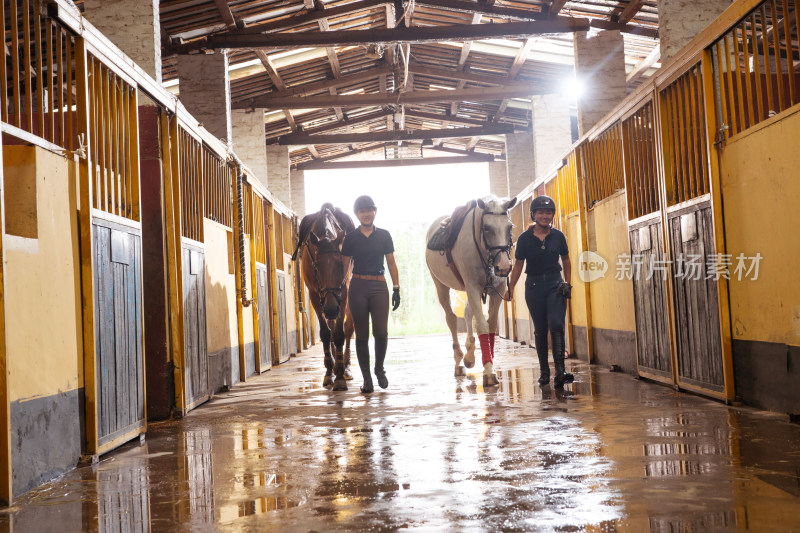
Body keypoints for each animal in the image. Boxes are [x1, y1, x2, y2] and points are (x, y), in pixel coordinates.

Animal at [292, 202, 354, 388]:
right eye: (316, 266)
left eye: (340, 264)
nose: (332, 309)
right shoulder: (315, 294)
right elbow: (326, 333)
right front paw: (329, 373)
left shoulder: (343, 292)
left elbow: (340, 333)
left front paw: (340, 376)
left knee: (348, 328)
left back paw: (345, 367)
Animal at [428, 194, 516, 382]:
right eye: (487, 228)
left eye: (510, 226)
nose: (504, 266)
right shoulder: (473, 287)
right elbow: (482, 325)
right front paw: (489, 371)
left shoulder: (497, 289)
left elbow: (491, 326)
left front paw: (486, 361)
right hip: (441, 286)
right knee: (452, 319)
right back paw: (459, 361)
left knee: (468, 313)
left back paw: (469, 354)